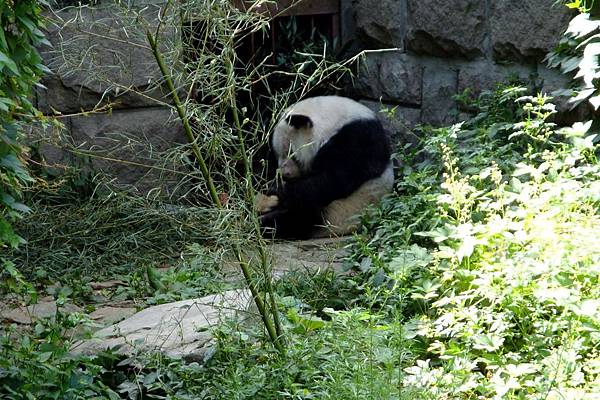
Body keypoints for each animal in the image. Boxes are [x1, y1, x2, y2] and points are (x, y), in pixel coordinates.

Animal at [256, 95, 394, 239]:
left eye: (293, 156)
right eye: (277, 155)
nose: (285, 174)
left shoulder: (359, 139)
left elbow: (333, 180)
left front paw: (278, 190)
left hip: (340, 212)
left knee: (301, 217)